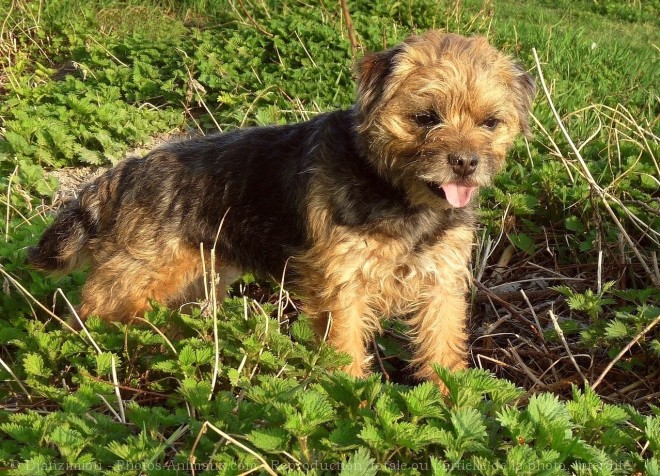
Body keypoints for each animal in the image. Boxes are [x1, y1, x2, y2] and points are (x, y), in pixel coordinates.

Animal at [29, 31, 536, 384]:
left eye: (490, 123)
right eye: (425, 118)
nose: (465, 163)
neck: (398, 194)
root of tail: (127, 172)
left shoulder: (441, 284)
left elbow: (442, 346)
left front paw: (451, 399)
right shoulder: (342, 287)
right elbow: (345, 349)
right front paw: (353, 401)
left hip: (193, 279)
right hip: (137, 276)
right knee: (90, 310)